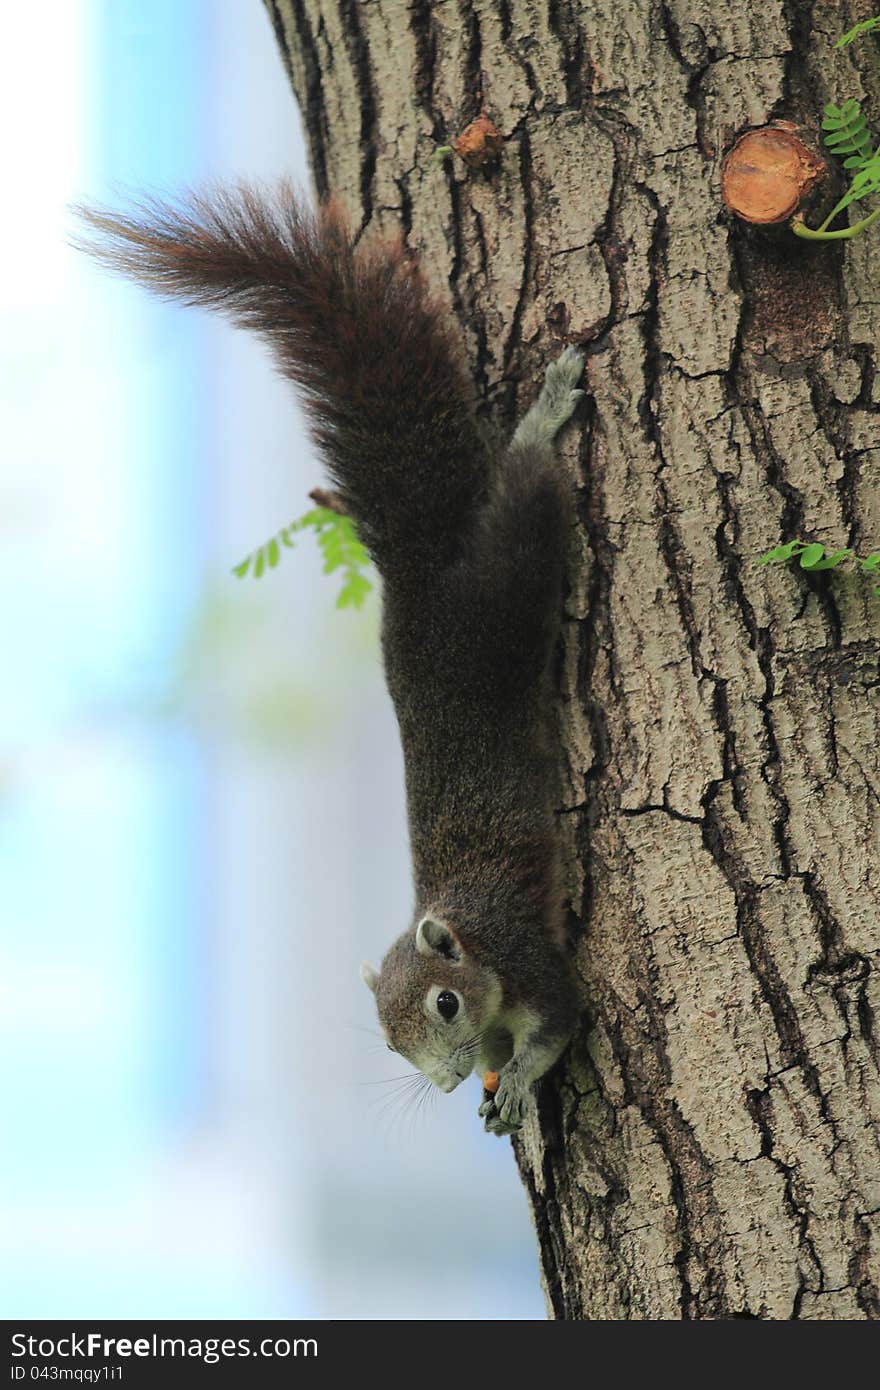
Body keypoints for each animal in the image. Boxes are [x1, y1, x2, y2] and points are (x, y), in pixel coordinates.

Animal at [77, 182, 583, 1128]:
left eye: (444, 1003)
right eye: (386, 1039)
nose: (445, 1081)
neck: (468, 938)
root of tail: (419, 573)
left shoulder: (524, 948)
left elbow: (563, 1019)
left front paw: (522, 1075)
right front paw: (495, 1082)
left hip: (502, 587)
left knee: (529, 487)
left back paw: (548, 411)